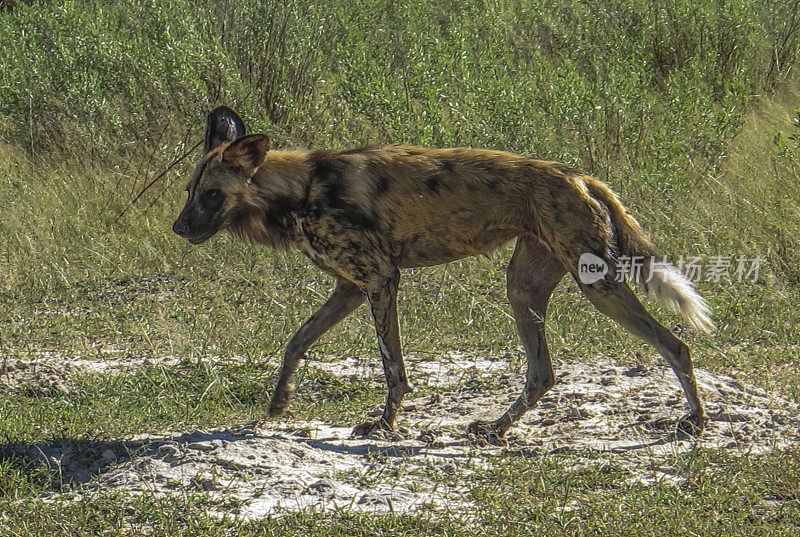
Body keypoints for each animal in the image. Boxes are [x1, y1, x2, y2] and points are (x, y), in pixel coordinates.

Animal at [175, 108, 712, 440]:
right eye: (189, 192)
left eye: (211, 195)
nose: (178, 228)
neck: (300, 189)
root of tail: (579, 176)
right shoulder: (350, 288)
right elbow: (296, 342)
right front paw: (278, 404)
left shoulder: (380, 280)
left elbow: (393, 368)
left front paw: (383, 426)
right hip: (523, 290)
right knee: (542, 372)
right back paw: (495, 429)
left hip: (597, 284)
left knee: (675, 345)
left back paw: (695, 421)